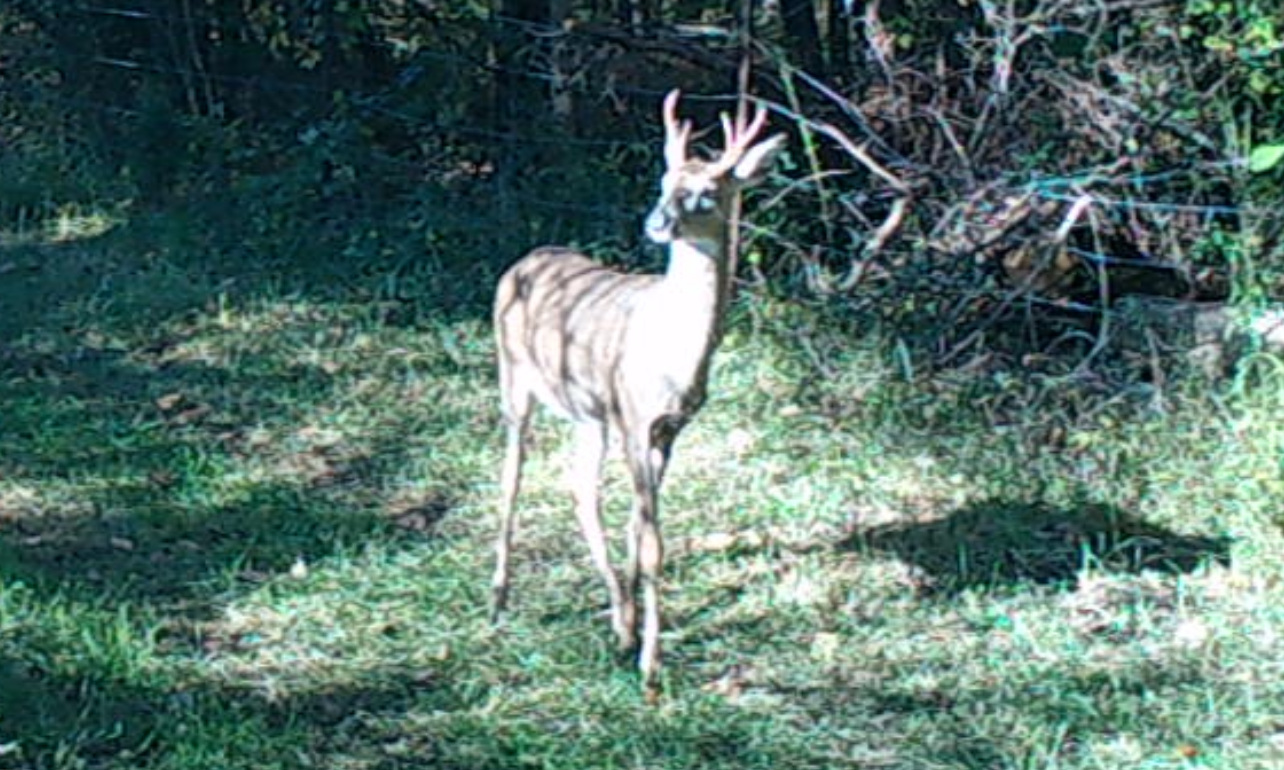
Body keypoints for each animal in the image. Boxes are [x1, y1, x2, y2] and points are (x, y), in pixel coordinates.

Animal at [491, 89, 786, 699]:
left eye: (707, 192)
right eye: (663, 180)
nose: (656, 222)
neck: (675, 354)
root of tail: (525, 258)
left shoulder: (667, 428)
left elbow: (635, 527)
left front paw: (632, 635)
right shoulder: (632, 414)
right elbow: (653, 544)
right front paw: (652, 666)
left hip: (587, 415)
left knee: (580, 489)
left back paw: (617, 620)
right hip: (514, 379)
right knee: (511, 477)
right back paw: (498, 600)